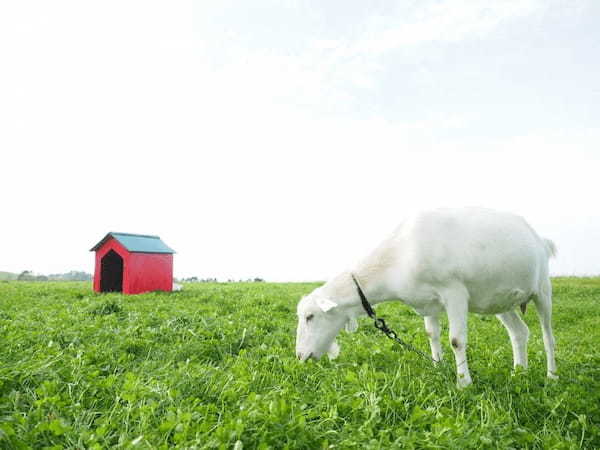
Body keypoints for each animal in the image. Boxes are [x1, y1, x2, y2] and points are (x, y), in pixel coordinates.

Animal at [296, 207, 556, 386]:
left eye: (310, 317)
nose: (300, 356)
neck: (398, 257)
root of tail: (541, 240)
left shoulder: (454, 292)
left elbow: (456, 340)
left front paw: (464, 383)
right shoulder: (428, 303)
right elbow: (432, 334)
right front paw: (437, 367)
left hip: (543, 289)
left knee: (547, 336)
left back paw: (552, 375)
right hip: (500, 301)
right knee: (519, 332)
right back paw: (519, 372)